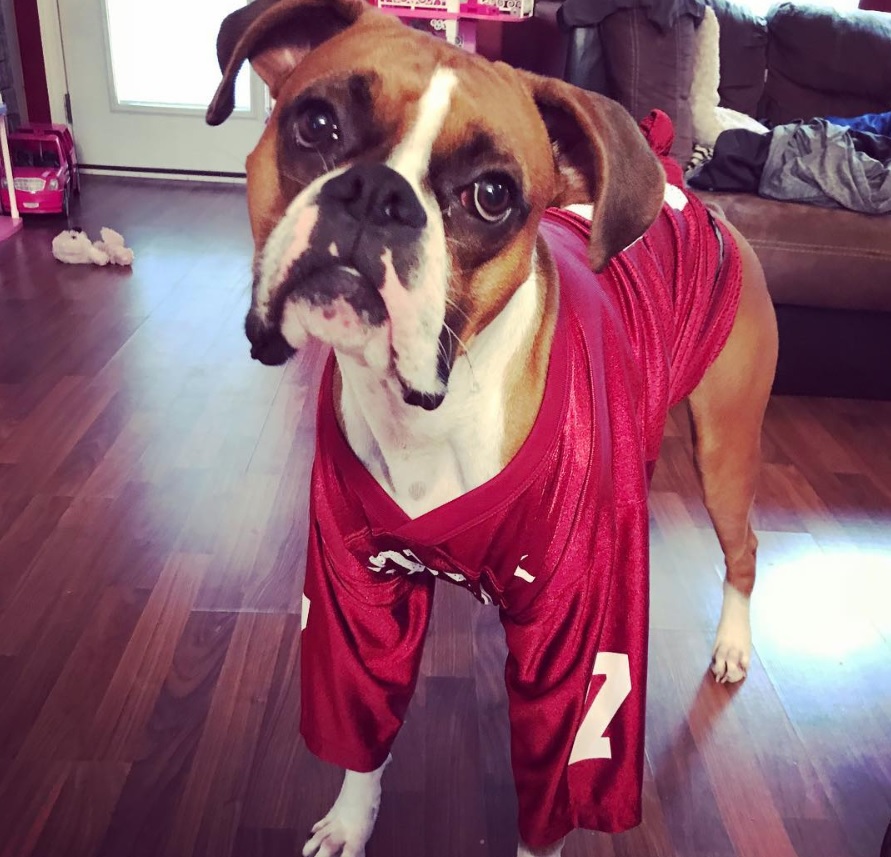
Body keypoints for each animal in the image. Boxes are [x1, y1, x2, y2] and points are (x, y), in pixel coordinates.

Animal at [207, 3, 772, 852]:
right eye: (315, 123)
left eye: (492, 195)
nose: (376, 192)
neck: (430, 413)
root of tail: (693, 199)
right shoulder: (351, 600)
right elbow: (361, 729)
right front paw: (350, 820)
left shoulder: (581, 660)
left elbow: (555, 784)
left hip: (724, 452)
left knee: (742, 550)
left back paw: (732, 643)